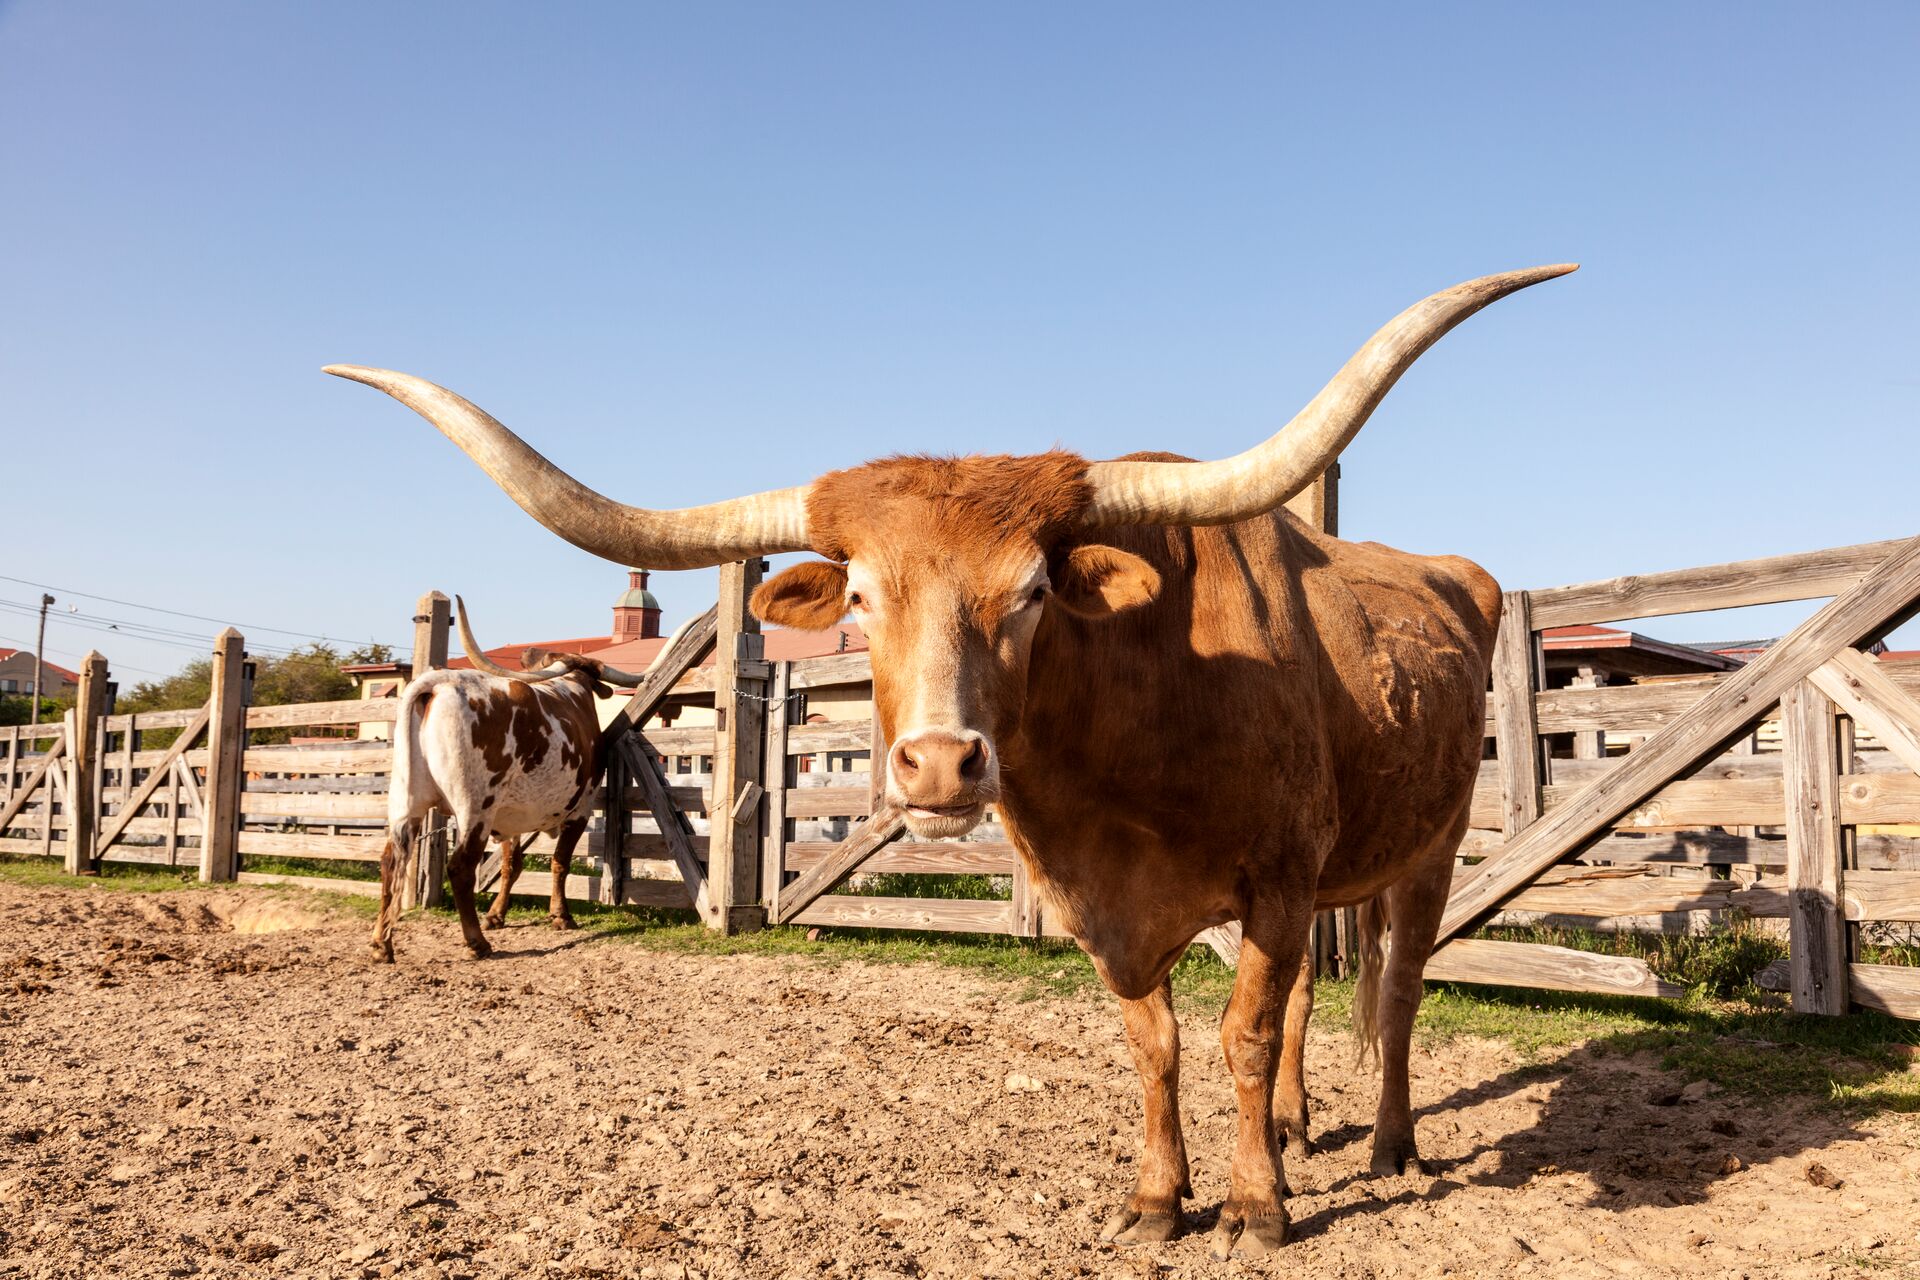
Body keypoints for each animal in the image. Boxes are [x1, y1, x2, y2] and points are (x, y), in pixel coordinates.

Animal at [374, 596, 672, 962]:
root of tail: (438, 683)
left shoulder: (509, 818)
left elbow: (510, 866)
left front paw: (497, 914)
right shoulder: (580, 810)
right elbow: (559, 863)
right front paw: (561, 916)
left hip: (406, 803)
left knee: (390, 862)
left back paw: (382, 945)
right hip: (475, 808)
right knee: (460, 867)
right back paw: (476, 942)